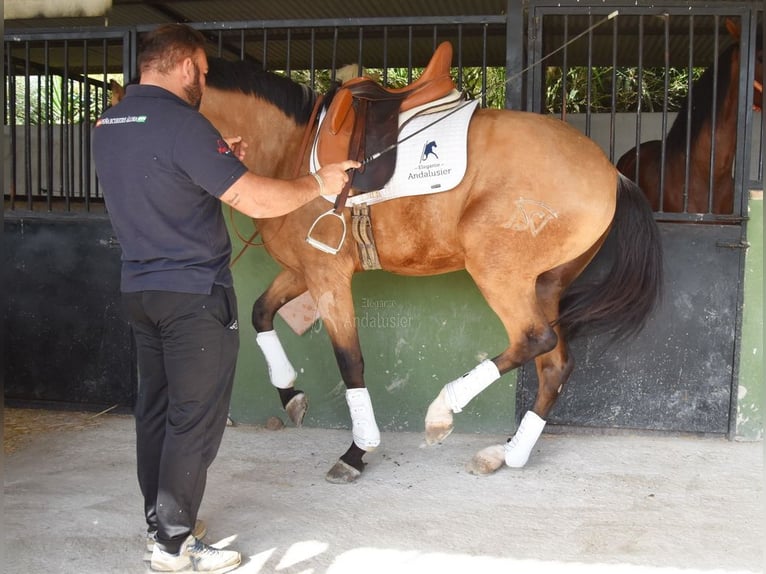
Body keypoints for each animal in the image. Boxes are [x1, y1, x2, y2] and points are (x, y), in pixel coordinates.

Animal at [109, 42, 664, 486]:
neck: (292, 151)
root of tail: (610, 172)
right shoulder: (304, 270)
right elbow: (260, 313)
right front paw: (290, 392)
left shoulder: (329, 277)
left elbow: (349, 359)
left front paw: (359, 449)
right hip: (544, 284)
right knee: (555, 365)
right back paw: (507, 454)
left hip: (498, 272)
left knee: (534, 339)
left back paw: (444, 411)